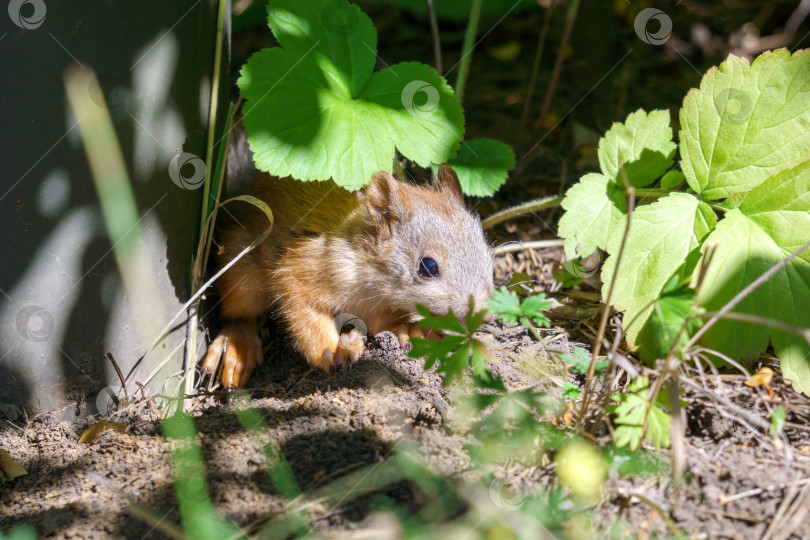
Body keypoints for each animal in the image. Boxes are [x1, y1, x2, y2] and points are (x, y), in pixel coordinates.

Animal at [201, 157, 492, 388]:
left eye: (486, 254)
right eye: (428, 266)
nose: (484, 314)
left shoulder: (376, 306)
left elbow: (382, 324)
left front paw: (410, 330)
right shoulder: (308, 267)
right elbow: (301, 307)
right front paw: (331, 350)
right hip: (243, 275)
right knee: (238, 315)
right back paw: (238, 348)